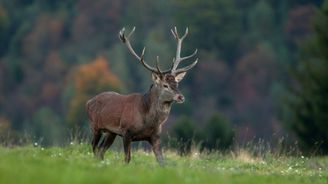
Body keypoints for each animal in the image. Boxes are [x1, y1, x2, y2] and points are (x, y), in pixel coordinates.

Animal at [86, 26, 197, 165]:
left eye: (176, 83)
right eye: (165, 85)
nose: (181, 97)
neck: (148, 121)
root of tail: (88, 102)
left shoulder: (155, 136)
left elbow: (162, 161)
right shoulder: (126, 131)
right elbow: (127, 159)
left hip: (111, 133)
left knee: (100, 151)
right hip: (95, 126)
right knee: (94, 147)